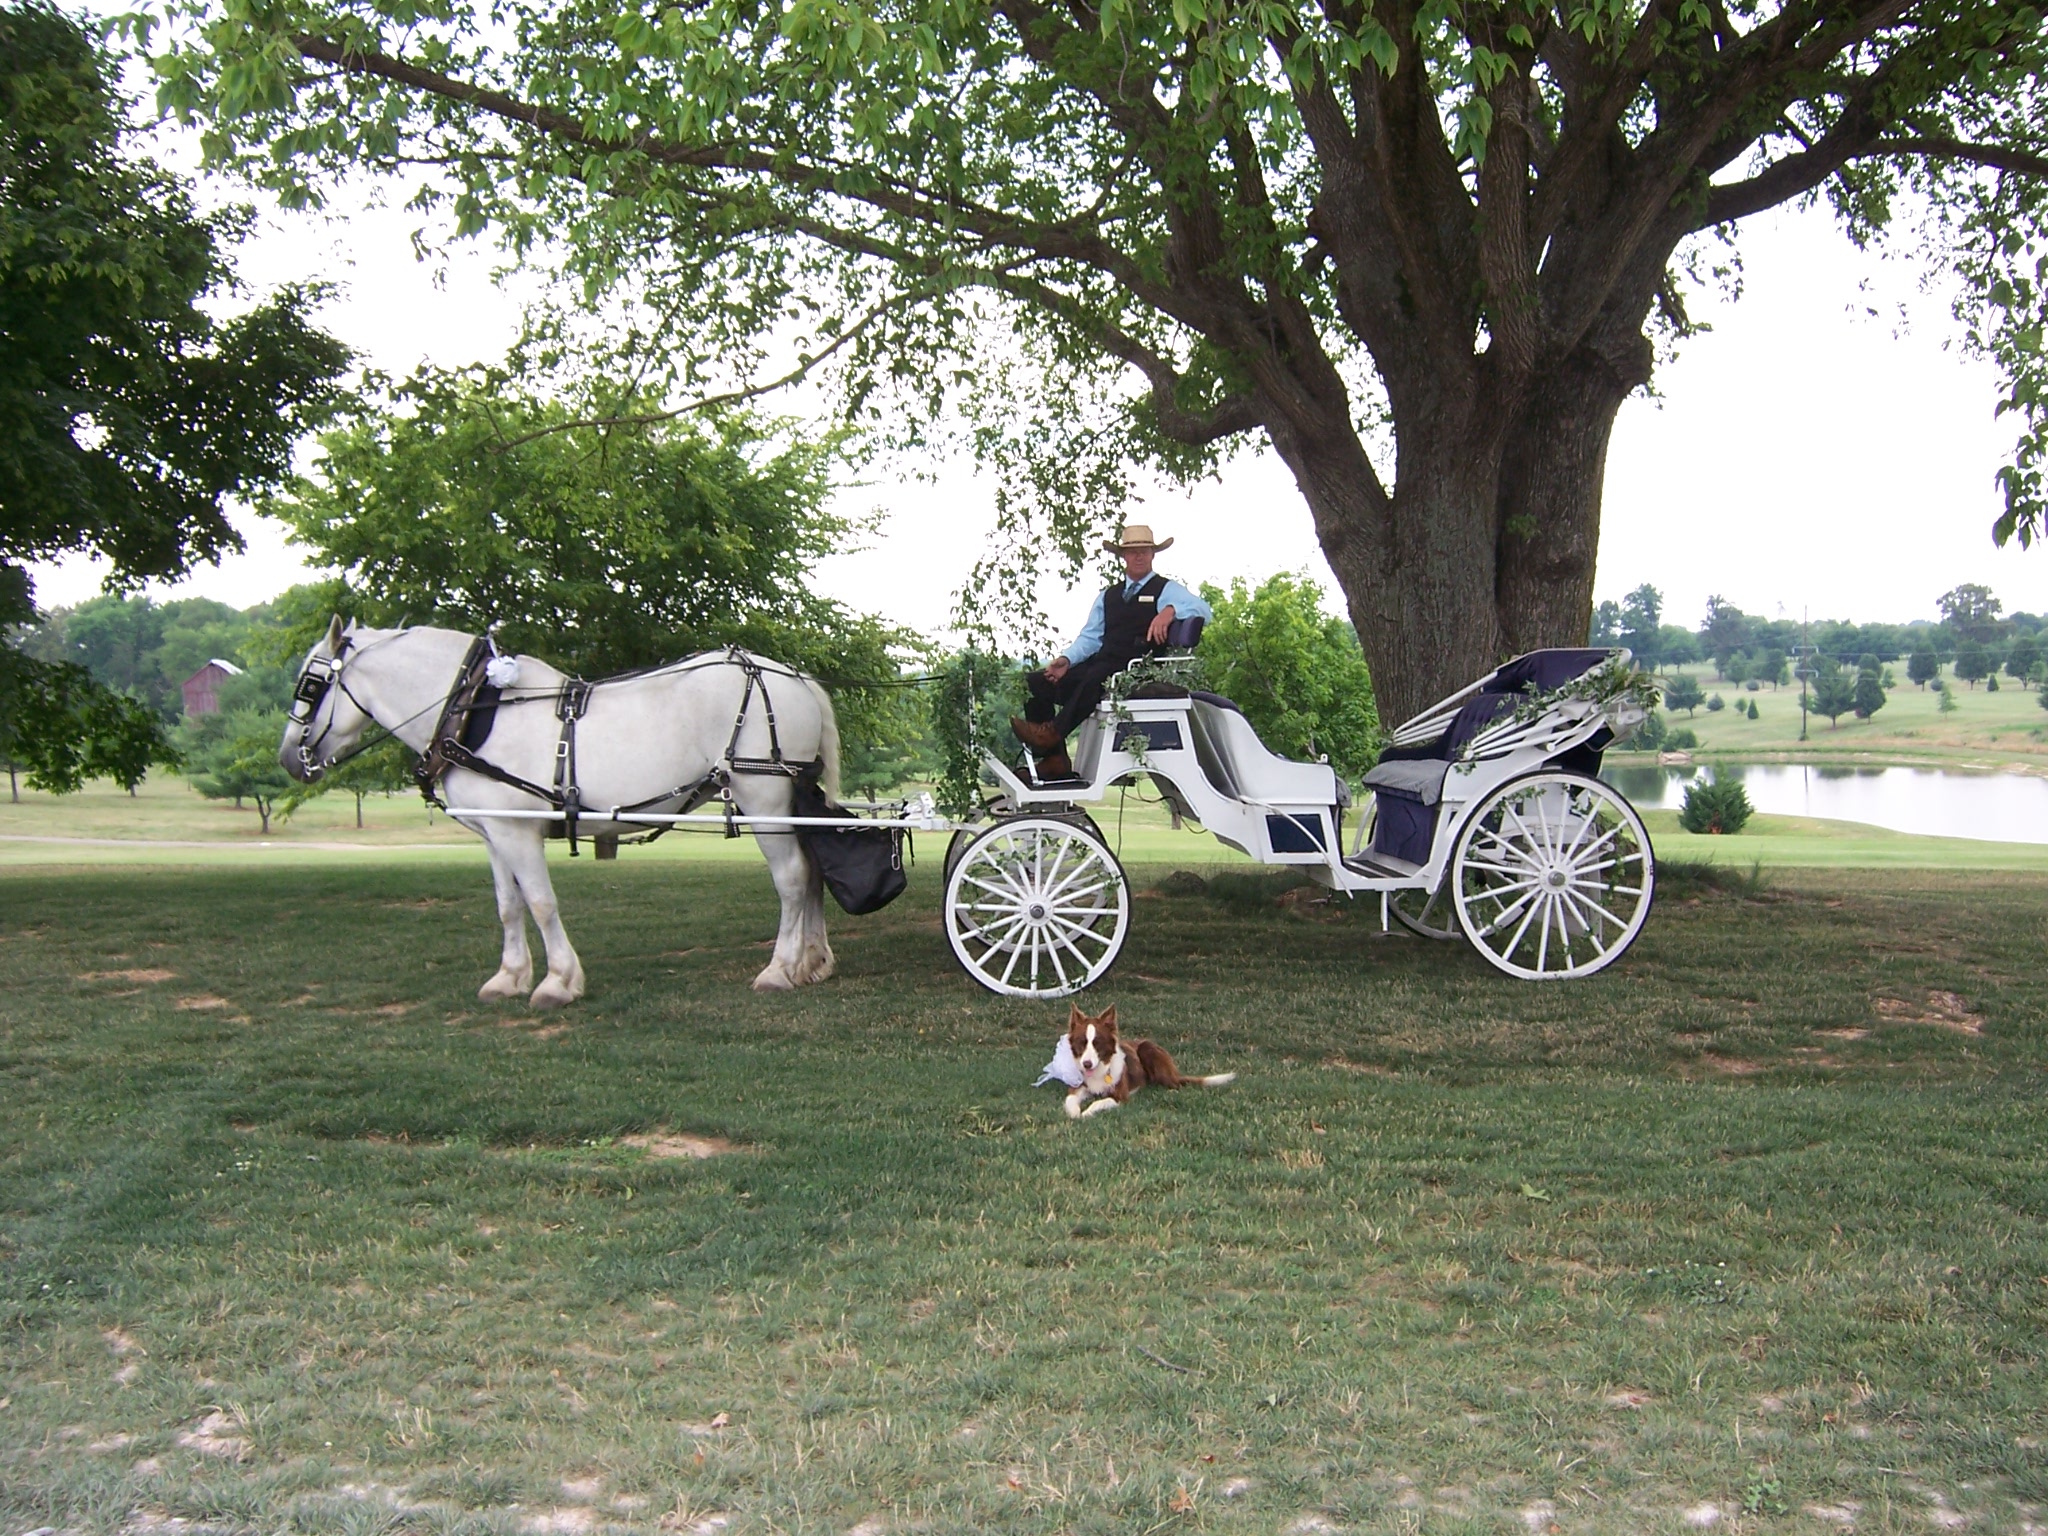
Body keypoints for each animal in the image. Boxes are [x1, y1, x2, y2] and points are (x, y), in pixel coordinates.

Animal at [280, 618, 839, 1003]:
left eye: (311, 683)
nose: (288, 758)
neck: (473, 712)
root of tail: (794, 676)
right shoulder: (495, 833)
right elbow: (508, 906)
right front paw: (509, 977)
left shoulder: (518, 831)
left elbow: (541, 902)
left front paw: (557, 982)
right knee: (814, 870)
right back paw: (813, 962)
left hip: (762, 797)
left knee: (792, 878)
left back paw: (780, 969)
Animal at [1056, 1003, 1228, 1122]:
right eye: (1082, 1043)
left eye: (1097, 1043)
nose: (1087, 1064)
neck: (1101, 1070)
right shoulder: (1077, 1088)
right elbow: (1070, 1101)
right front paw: (1075, 1113)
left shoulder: (1120, 1097)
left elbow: (1098, 1103)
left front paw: (1086, 1112)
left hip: (1148, 1048)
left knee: (1175, 1083)